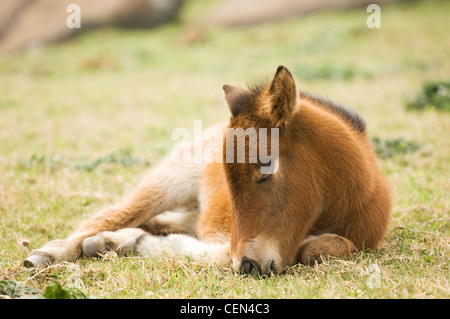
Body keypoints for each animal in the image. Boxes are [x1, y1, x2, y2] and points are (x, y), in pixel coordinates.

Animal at [24, 66, 390, 276]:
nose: (249, 265)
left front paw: (126, 243)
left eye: (265, 171)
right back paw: (53, 253)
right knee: (111, 215)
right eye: (227, 180)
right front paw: (133, 244)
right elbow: (219, 255)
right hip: (170, 181)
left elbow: (324, 248)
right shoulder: (228, 239)